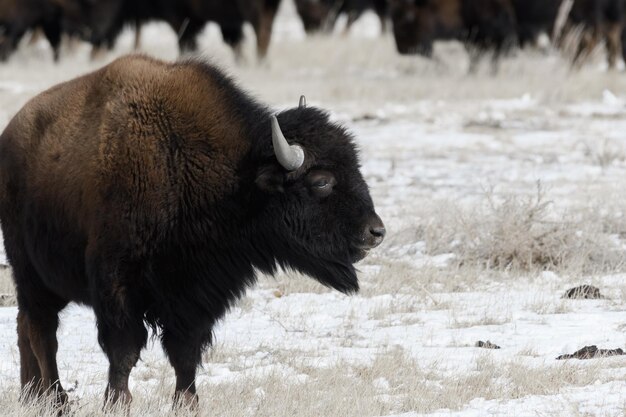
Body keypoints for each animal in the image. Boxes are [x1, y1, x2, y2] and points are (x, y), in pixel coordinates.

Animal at [0, 53, 386, 408]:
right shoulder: (118, 284)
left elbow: (185, 353)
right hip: (31, 274)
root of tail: (11, 135)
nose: (376, 232)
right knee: (42, 331)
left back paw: (31, 396)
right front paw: (118, 401)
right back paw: (55, 398)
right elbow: (124, 349)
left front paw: (187, 402)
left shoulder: (196, 294)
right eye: (321, 181)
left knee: (25, 326)